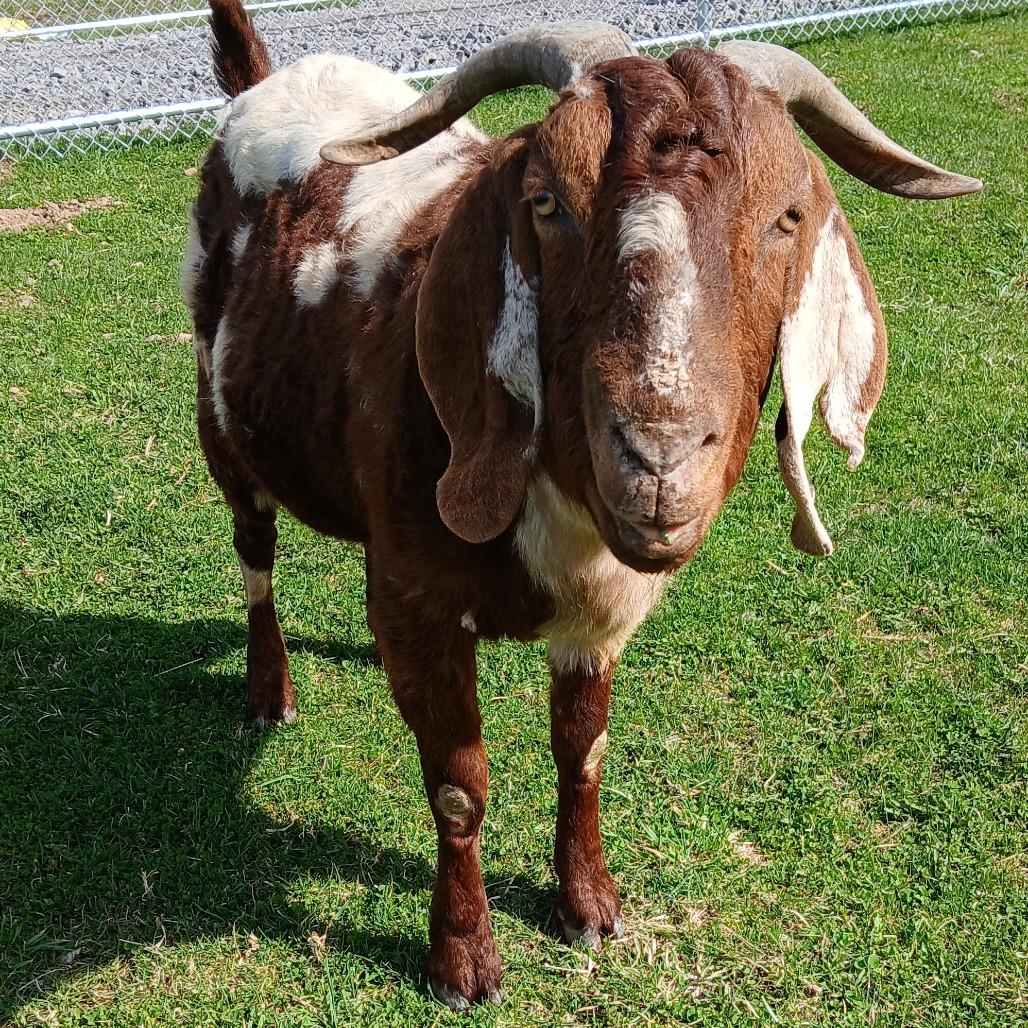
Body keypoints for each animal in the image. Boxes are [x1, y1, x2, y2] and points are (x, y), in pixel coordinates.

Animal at [184, 0, 980, 1007]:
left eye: (788, 216)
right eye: (546, 204)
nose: (658, 457)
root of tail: (264, 82)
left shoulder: (603, 610)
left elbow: (582, 752)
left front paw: (589, 904)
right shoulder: (419, 599)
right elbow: (458, 785)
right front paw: (463, 958)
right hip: (222, 427)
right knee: (254, 555)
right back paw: (269, 688)